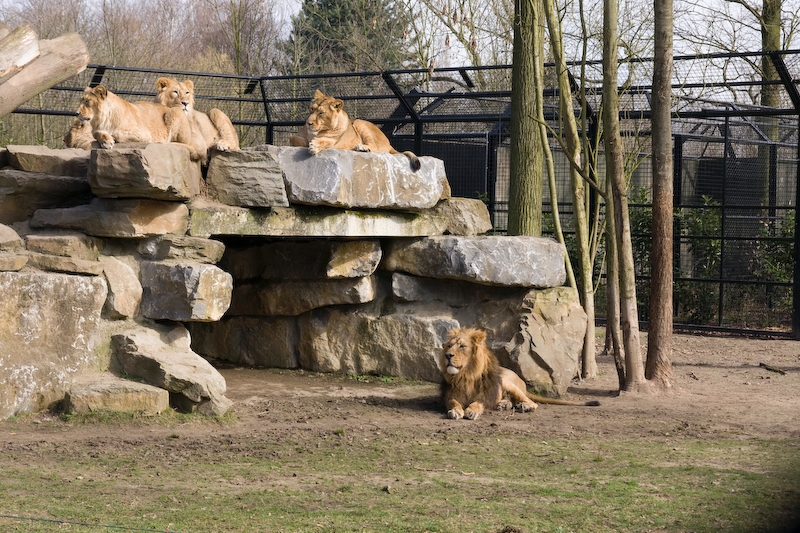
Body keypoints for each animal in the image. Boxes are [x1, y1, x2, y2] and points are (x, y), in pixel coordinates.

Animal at [289, 89, 421, 171]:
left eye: (321, 113)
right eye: (312, 109)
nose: (308, 123)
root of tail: (389, 143)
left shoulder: (334, 142)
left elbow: (324, 141)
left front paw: (314, 145)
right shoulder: (295, 136)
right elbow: (296, 140)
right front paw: (308, 143)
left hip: (359, 122)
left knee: (376, 148)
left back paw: (361, 147)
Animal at [440, 327, 600, 420]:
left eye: (462, 346)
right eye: (449, 346)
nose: (448, 355)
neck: (466, 375)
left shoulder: (485, 395)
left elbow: (478, 403)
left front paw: (472, 411)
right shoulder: (450, 395)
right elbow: (454, 402)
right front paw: (455, 411)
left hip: (507, 382)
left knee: (532, 403)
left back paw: (524, 406)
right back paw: (504, 404)